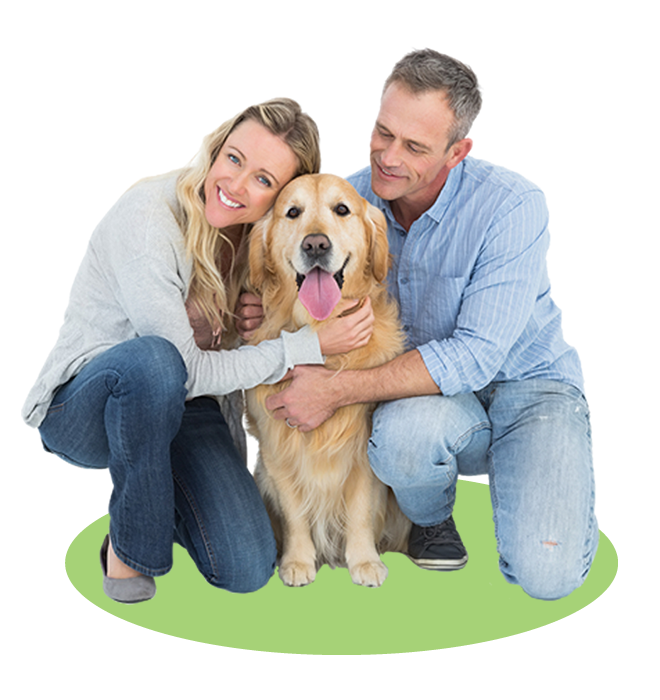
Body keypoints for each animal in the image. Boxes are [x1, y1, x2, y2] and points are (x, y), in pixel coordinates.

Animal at [245, 172, 410, 588]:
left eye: (342, 209)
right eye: (292, 212)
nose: (316, 244)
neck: (319, 330)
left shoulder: (362, 449)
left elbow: (360, 510)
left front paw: (364, 561)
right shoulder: (276, 447)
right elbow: (295, 513)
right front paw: (297, 561)